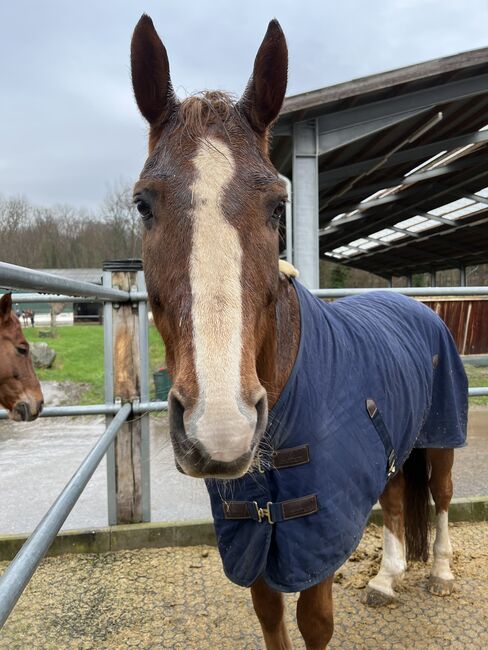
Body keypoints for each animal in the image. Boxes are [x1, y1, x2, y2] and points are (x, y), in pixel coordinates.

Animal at [132, 16, 464, 648]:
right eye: (143, 205)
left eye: (278, 207)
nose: (221, 428)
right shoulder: (252, 534)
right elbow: (270, 616)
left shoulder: (317, 534)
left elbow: (314, 622)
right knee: (393, 498)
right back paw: (386, 578)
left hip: (440, 434)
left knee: (438, 496)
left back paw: (438, 572)